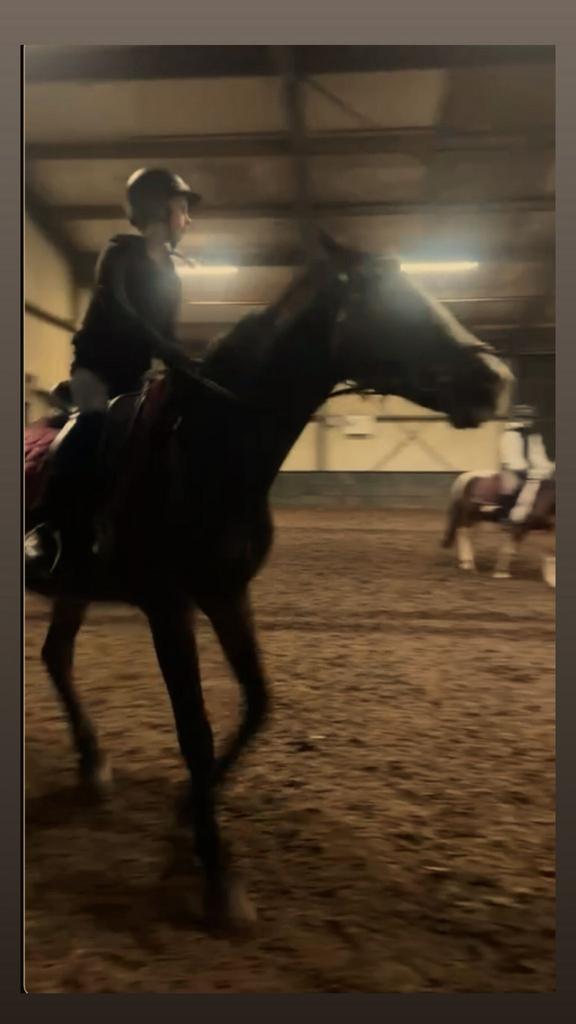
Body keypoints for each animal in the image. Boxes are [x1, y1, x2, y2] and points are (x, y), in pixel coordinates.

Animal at [25, 237, 514, 929]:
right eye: (390, 299)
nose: (498, 382)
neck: (206, 449)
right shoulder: (167, 606)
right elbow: (195, 731)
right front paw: (218, 876)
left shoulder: (228, 594)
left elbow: (258, 705)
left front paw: (186, 816)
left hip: (74, 589)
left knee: (56, 656)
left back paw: (93, 765)